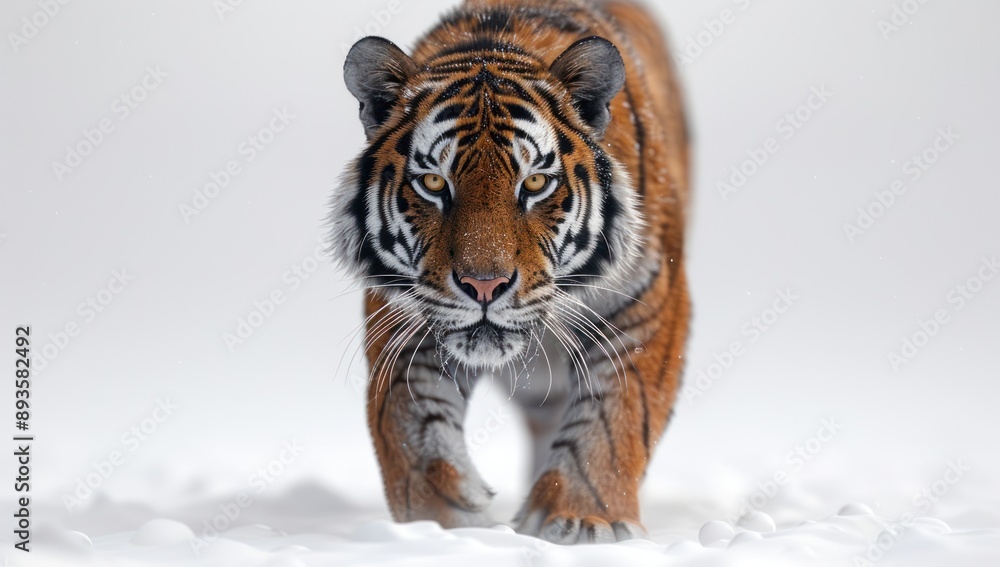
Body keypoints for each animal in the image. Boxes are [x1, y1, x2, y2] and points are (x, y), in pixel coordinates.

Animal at [329, 0, 690, 544]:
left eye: (535, 183)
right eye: (434, 183)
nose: (485, 286)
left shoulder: (646, 305)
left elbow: (614, 417)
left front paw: (584, 520)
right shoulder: (405, 323)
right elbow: (413, 429)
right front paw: (444, 527)